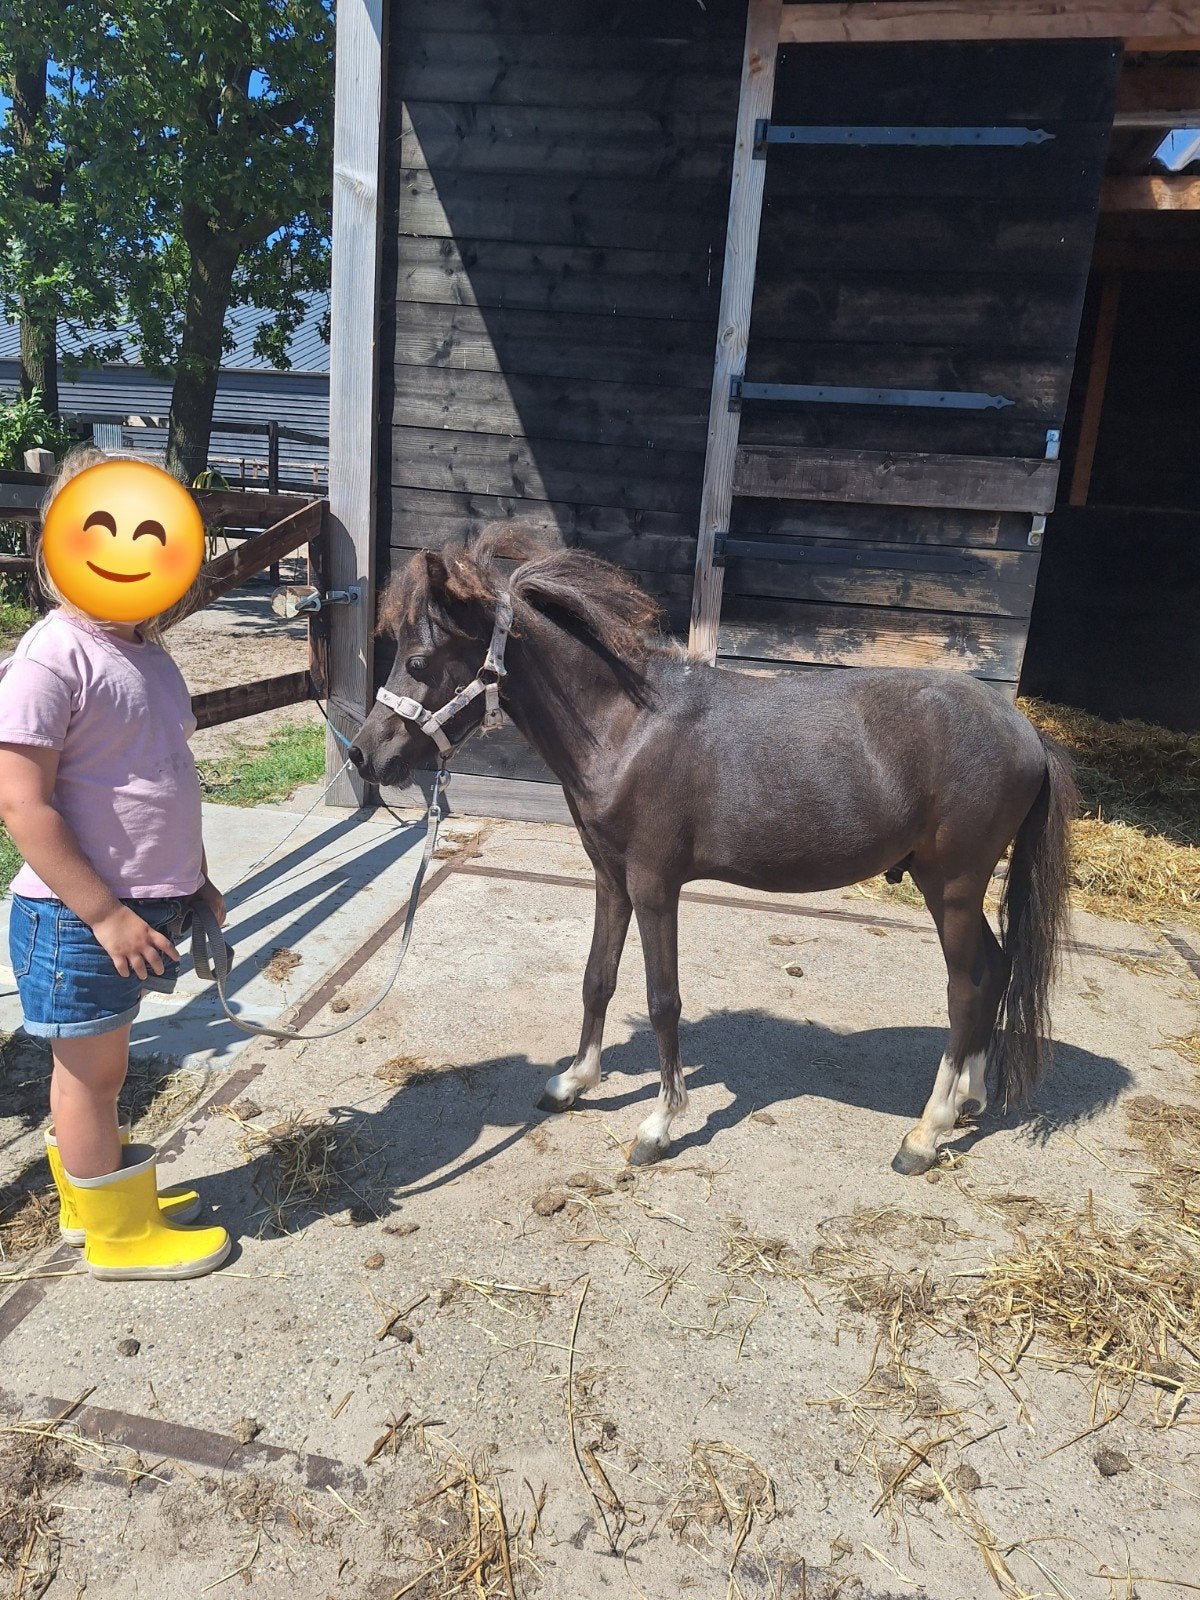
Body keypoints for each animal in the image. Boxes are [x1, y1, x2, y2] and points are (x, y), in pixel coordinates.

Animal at [349, 531, 1076, 1175]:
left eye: (419, 662)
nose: (364, 755)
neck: (627, 727)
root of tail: (1028, 734)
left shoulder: (653, 886)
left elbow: (663, 998)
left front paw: (659, 1125)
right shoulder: (610, 879)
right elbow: (597, 978)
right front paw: (574, 1081)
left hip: (951, 886)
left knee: (967, 986)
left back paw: (926, 1132)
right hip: (954, 890)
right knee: (996, 968)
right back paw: (968, 1099)